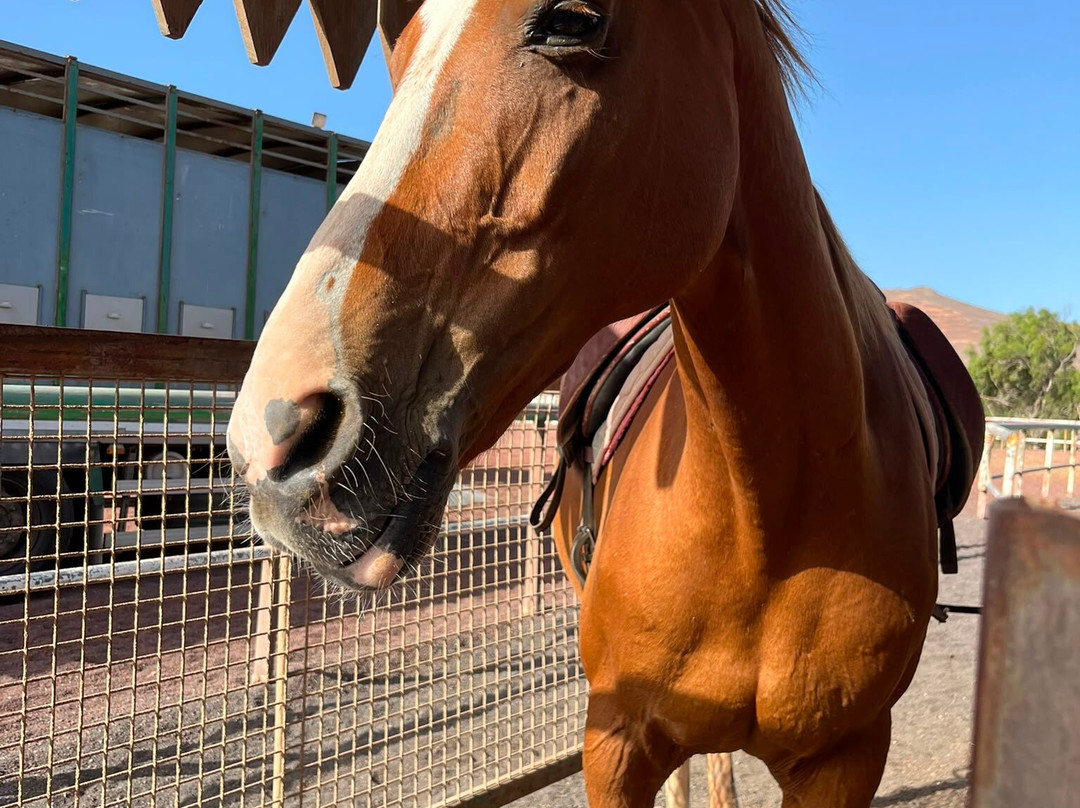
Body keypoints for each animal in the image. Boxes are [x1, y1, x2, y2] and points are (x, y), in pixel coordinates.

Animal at [225, 1, 980, 804]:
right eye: (400, 52)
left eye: (570, 21)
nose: (272, 436)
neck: (767, 519)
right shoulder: (615, 740)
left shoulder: (847, 758)